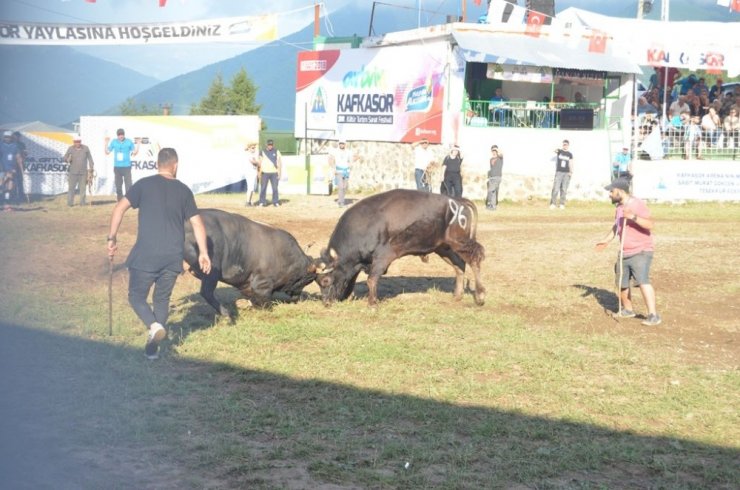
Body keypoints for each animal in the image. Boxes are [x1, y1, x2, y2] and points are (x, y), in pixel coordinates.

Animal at [184, 207, 316, 314]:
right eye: (306, 280)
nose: (297, 298)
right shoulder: (262, 284)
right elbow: (263, 298)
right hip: (211, 272)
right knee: (206, 292)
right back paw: (225, 313)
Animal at [316, 189, 486, 304]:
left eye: (325, 281)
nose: (326, 302)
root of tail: (457, 201)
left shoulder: (382, 257)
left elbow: (372, 279)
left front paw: (372, 303)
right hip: (444, 248)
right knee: (459, 265)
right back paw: (457, 295)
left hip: (460, 242)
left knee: (474, 260)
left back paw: (480, 296)